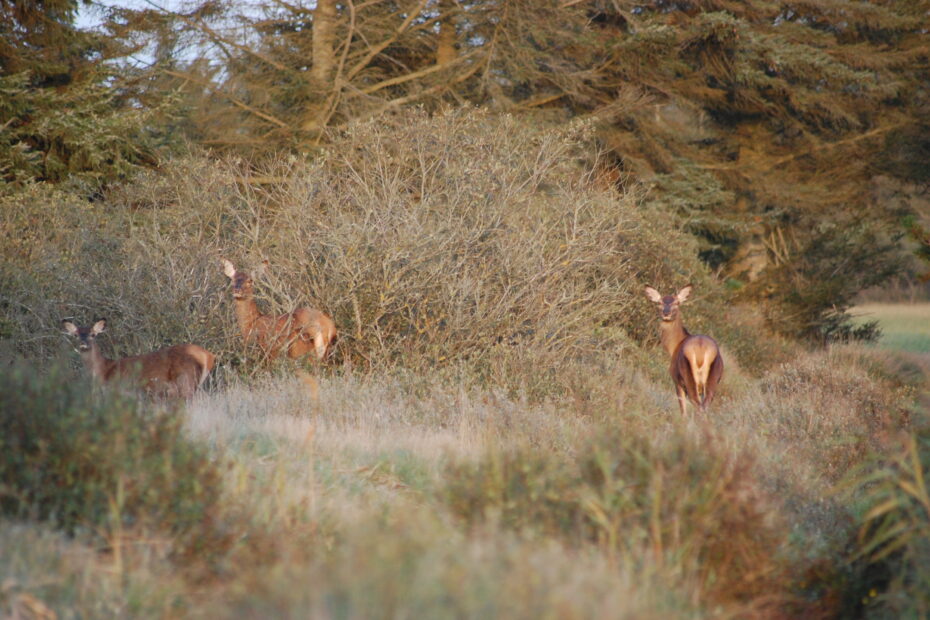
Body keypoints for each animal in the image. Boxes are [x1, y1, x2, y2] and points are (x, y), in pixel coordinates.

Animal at [62, 318, 215, 400]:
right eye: (75, 335)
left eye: (93, 334)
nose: (83, 344)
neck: (104, 370)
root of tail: (208, 356)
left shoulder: (122, 391)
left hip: (185, 382)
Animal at [640, 286, 720, 416]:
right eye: (659, 302)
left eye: (677, 303)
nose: (666, 313)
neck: (673, 347)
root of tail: (701, 350)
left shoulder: (676, 380)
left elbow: (683, 410)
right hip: (712, 380)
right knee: (705, 406)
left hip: (687, 377)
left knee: (697, 405)